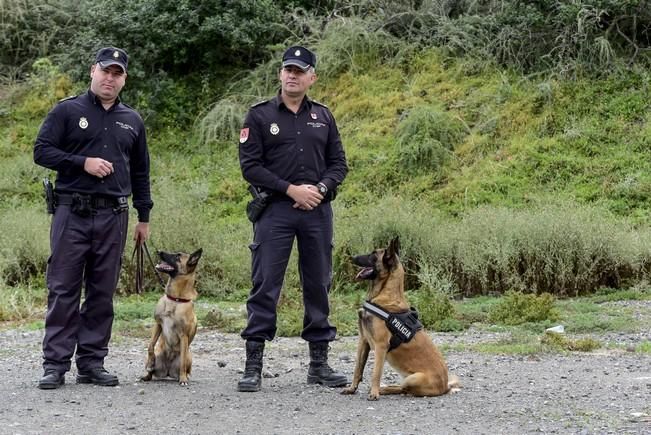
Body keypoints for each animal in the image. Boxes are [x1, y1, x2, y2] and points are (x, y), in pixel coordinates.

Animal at [141, 250, 202, 386]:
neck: (176, 299)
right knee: (151, 371)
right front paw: (150, 363)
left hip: (189, 355)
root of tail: (168, 371)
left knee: (185, 365)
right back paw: (147, 373)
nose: (159, 251)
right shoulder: (158, 324)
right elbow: (150, 345)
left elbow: (183, 362)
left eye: (178, 256)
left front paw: (183, 379)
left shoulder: (183, 335)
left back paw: (184, 377)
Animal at [342, 238, 458, 402]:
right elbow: (357, 368)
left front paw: (374, 393)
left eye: (373, 255)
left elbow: (375, 373)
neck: (384, 294)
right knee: (400, 387)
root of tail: (445, 386)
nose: (352, 257)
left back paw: (382, 390)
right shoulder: (363, 341)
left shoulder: (381, 346)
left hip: (412, 378)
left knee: (403, 389)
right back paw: (383, 389)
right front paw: (352, 388)